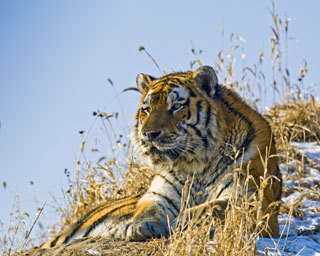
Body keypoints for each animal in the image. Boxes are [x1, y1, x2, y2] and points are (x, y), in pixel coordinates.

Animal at [41, 64, 282, 248]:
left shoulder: (251, 198)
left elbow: (213, 208)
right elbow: (148, 208)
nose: (149, 134)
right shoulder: (159, 193)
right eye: (146, 109)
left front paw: (181, 222)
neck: (196, 164)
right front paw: (137, 226)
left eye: (176, 106)